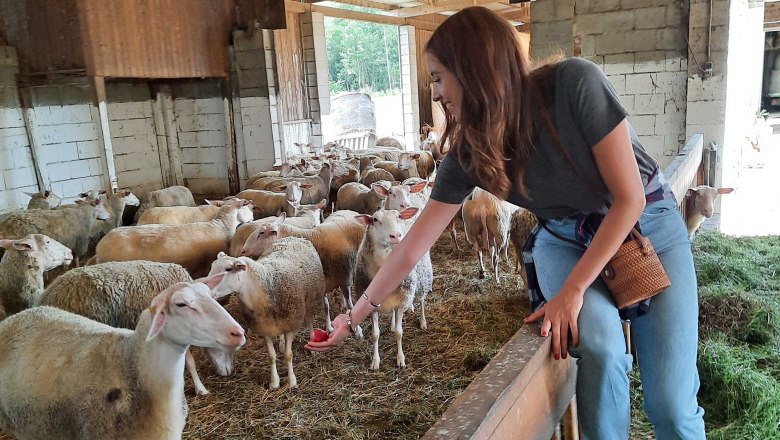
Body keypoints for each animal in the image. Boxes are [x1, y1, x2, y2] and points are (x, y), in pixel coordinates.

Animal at [206, 237, 324, 388]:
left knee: (309, 322)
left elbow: (288, 355)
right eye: (212, 267)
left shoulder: (291, 324)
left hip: (311, 299)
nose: (205, 288)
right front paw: (274, 382)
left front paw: (292, 381)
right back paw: (281, 344)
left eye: (228, 269)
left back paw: (312, 345)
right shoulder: (264, 328)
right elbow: (271, 356)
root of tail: (295, 237)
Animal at [354, 208, 420, 370]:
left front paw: (400, 359)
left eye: (398, 217)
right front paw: (375, 361)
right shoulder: (371, 307)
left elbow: (399, 333)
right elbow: (375, 334)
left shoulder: (401, 302)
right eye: (375, 219)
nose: (396, 235)